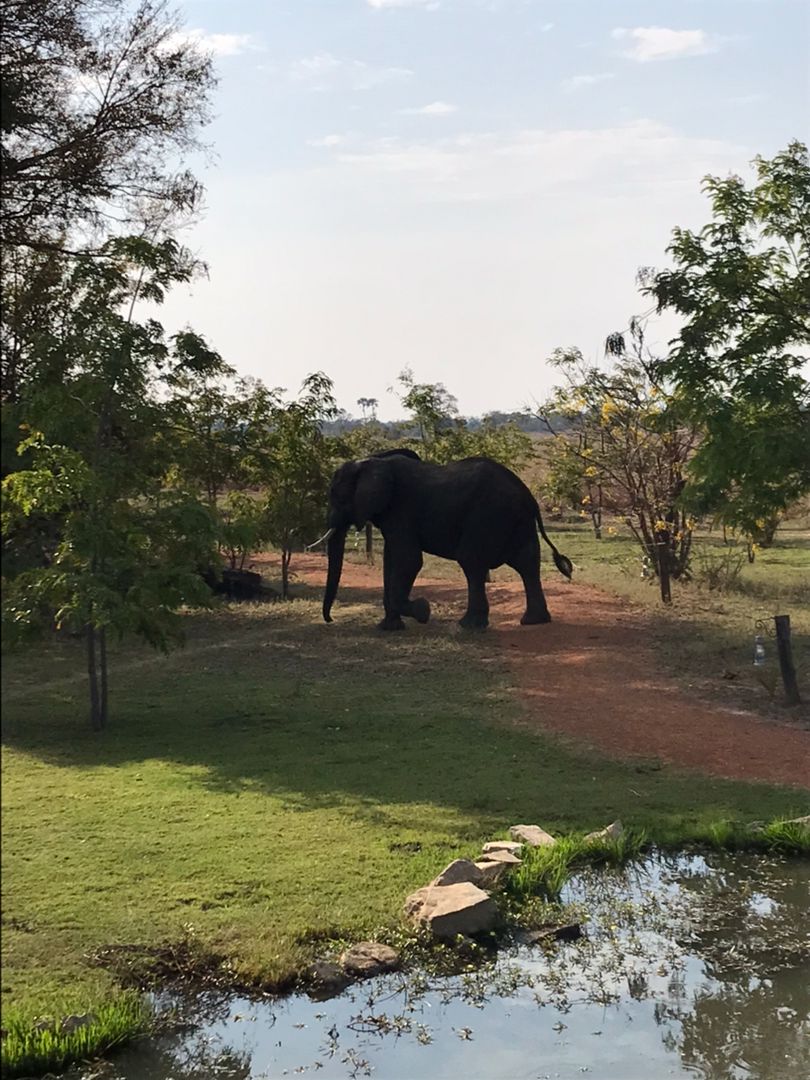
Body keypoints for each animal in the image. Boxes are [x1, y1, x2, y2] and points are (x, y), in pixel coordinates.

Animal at [317, 449, 570, 630]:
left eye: (337, 496)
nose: (330, 620)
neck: (373, 461)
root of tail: (529, 496)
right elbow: (391, 561)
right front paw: (388, 628)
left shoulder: (401, 510)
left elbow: (409, 561)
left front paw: (423, 611)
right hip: (516, 520)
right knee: (527, 562)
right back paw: (533, 621)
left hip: (489, 514)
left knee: (471, 561)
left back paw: (469, 625)